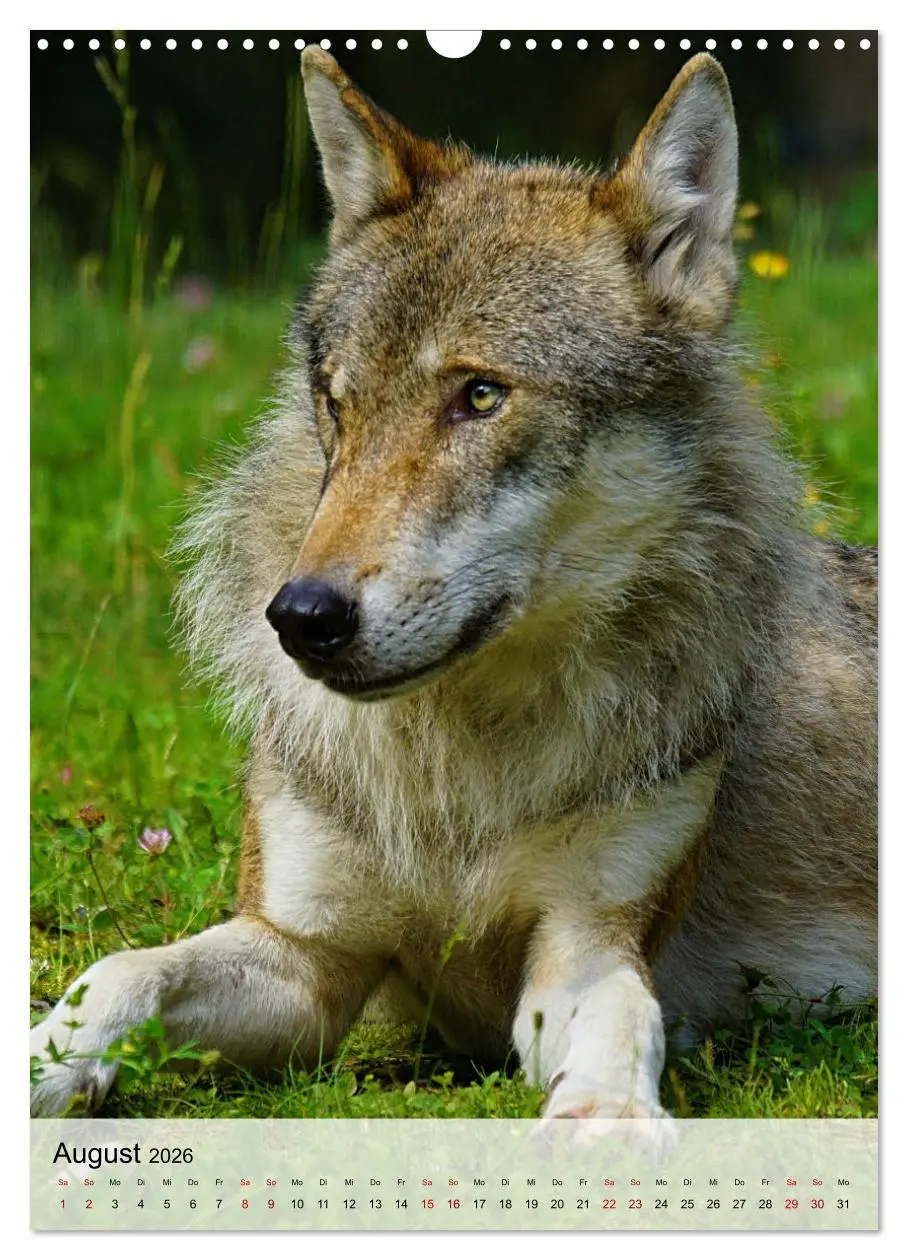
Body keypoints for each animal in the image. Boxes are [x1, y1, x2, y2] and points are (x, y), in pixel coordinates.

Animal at [31, 50, 877, 1120]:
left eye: (480, 395)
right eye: (337, 406)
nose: (301, 619)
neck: (458, 778)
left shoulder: (586, 944)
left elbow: (623, 1023)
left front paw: (605, 1122)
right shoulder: (305, 959)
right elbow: (119, 975)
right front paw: (40, 1069)